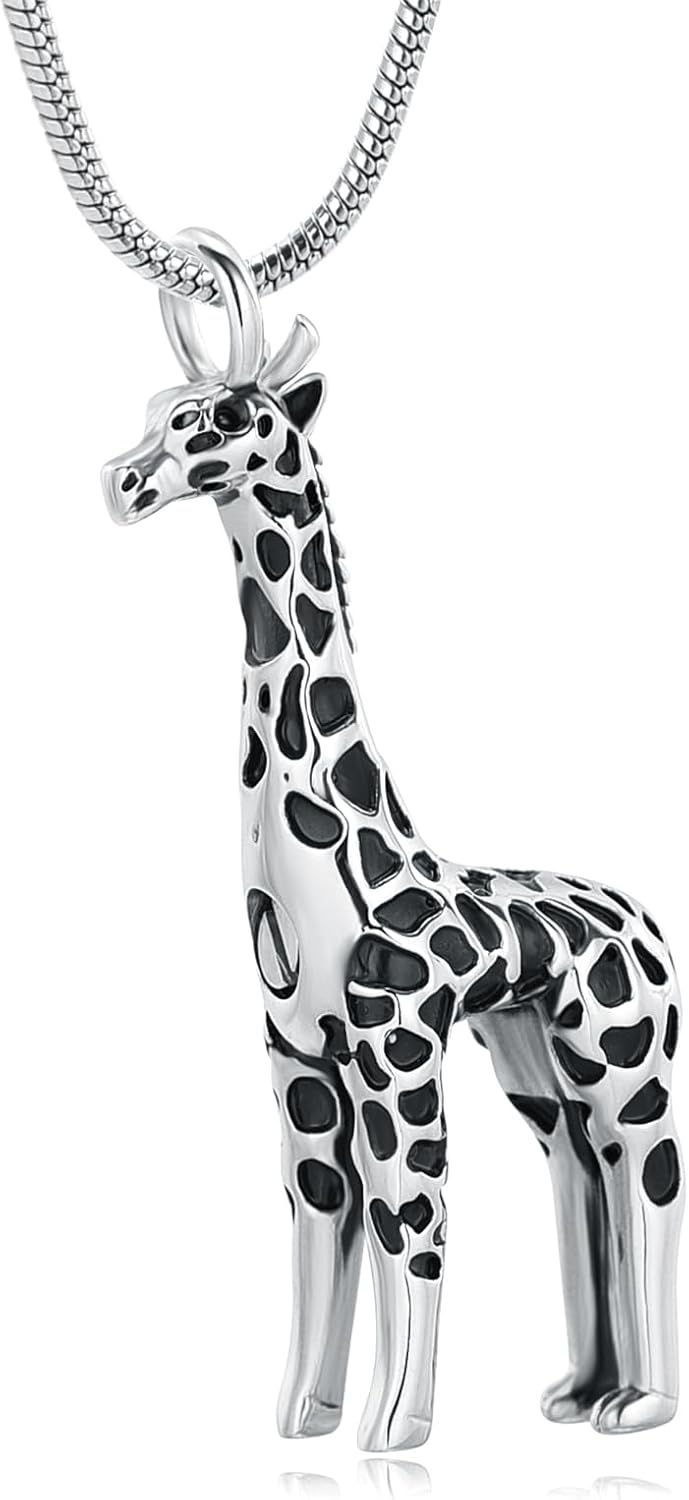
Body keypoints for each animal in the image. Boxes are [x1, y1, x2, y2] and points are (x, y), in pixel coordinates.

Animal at [102, 248, 684, 1453]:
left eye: (225, 417)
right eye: (154, 406)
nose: (121, 482)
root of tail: (649, 922)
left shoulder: (396, 1045)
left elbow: (411, 1216)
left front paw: (395, 1432)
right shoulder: (296, 1058)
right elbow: (318, 1223)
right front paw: (303, 1419)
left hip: (626, 1061)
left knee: (649, 1177)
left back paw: (643, 1406)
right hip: (536, 1067)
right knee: (578, 1176)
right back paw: (579, 1391)